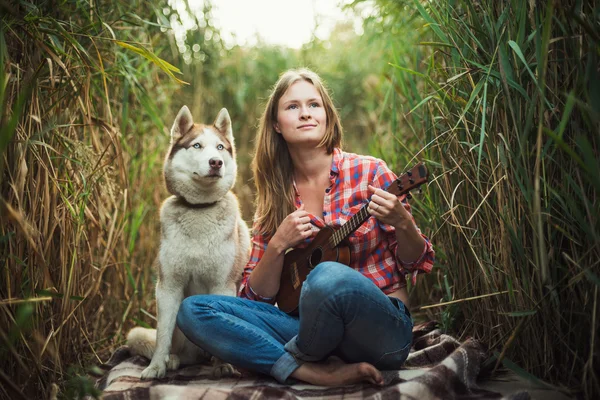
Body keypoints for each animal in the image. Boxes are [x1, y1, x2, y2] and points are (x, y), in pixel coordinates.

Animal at [125, 104, 250, 380]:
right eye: (197, 146)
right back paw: (172, 360)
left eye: (220, 147)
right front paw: (156, 366)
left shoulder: (223, 284)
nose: (216, 162)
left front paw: (223, 365)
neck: (200, 209)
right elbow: (162, 335)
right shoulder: (168, 286)